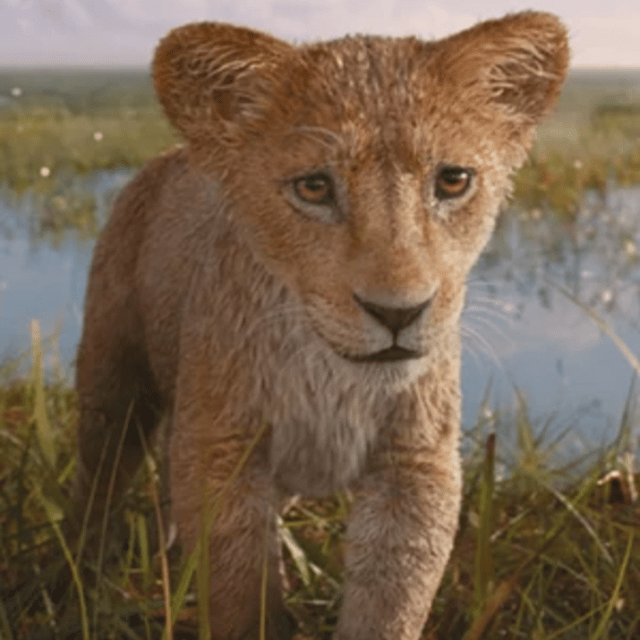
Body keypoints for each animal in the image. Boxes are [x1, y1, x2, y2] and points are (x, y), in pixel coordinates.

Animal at [73, 11, 568, 639]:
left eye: (453, 180)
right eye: (314, 186)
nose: (398, 312)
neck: (330, 376)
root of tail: (171, 153)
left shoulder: (415, 466)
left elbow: (390, 604)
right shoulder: (221, 451)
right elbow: (241, 598)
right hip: (113, 377)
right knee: (99, 481)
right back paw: (79, 582)